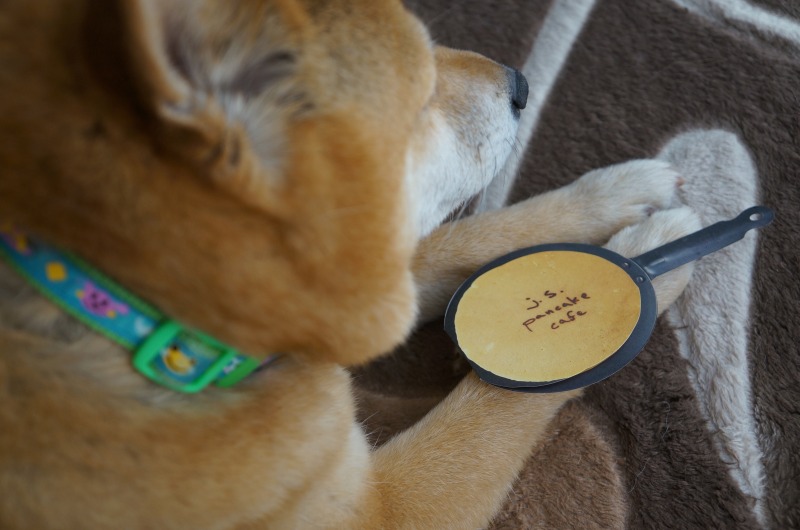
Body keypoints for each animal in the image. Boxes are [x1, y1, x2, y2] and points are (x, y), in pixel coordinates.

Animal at [0, 0, 700, 527]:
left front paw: (613, 196)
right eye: (420, 96)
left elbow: (471, 238)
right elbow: (494, 411)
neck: (119, 311)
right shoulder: (386, 509)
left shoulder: (366, 278)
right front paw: (644, 265)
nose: (523, 82)